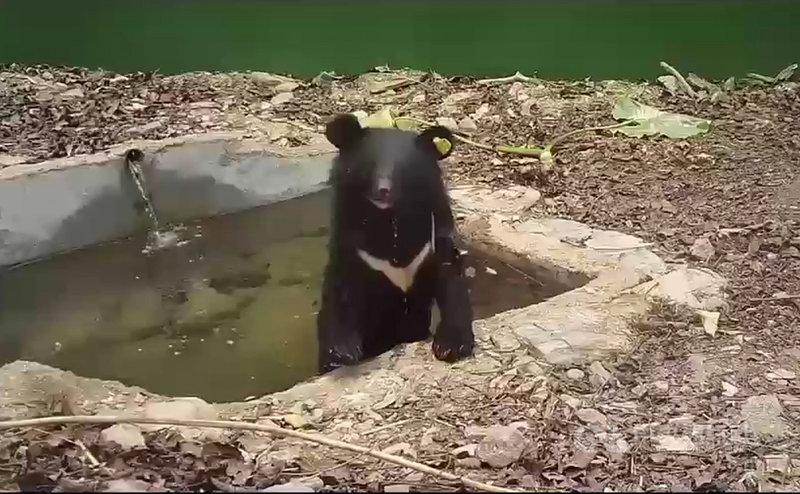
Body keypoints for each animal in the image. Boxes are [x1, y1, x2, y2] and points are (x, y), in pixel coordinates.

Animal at [316, 113, 475, 373]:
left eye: (404, 170)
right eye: (369, 165)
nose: (384, 190)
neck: (389, 218)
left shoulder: (433, 239)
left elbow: (451, 279)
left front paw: (450, 346)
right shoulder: (352, 247)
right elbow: (340, 292)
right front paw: (341, 353)